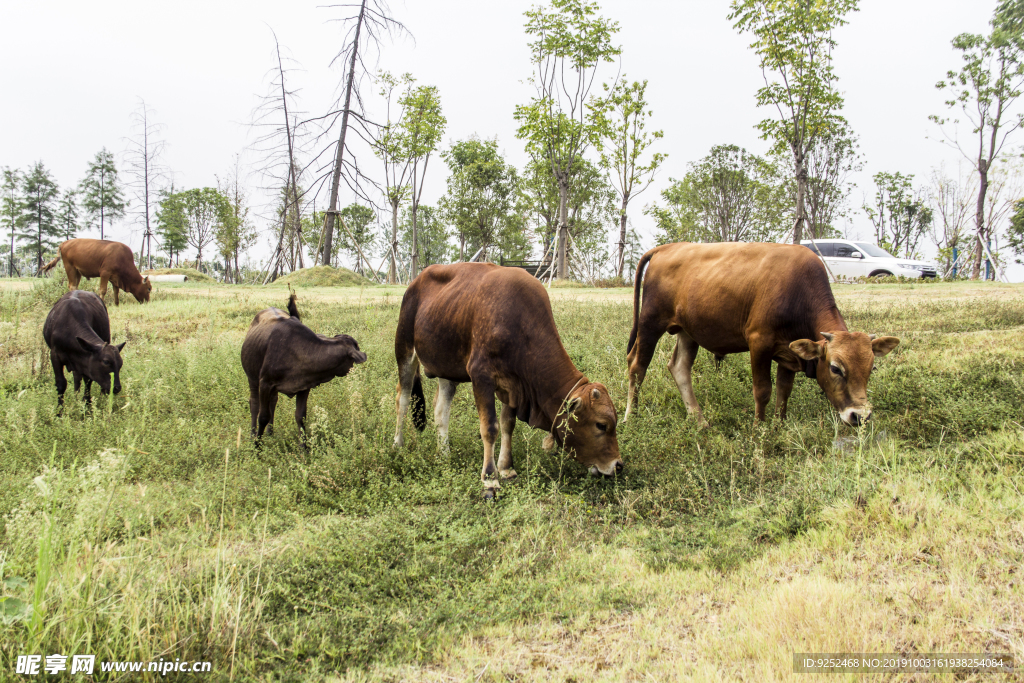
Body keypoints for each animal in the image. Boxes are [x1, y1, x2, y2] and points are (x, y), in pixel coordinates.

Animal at [239, 294, 368, 446]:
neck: (297, 351)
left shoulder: (303, 386)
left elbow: (300, 417)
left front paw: (304, 447)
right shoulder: (265, 383)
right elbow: (263, 416)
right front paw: (257, 446)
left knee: (273, 401)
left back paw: (270, 432)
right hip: (252, 378)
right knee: (254, 404)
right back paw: (253, 434)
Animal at [393, 262, 622, 497]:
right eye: (601, 425)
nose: (618, 465)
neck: (520, 324)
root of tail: (415, 282)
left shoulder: (513, 386)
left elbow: (507, 424)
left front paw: (506, 468)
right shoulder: (481, 377)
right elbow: (490, 428)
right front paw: (489, 478)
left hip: (448, 370)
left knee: (440, 411)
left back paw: (444, 453)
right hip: (404, 350)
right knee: (402, 400)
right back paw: (397, 446)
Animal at [618, 242, 901, 428]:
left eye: (872, 368)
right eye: (835, 368)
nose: (859, 416)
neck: (797, 292)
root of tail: (666, 248)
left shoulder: (789, 352)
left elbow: (784, 391)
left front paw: (779, 425)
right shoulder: (759, 343)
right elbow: (763, 390)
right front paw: (759, 429)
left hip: (689, 332)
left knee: (679, 368)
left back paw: (699, 420)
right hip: (650, 324)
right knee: (637, 366)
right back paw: (631, 416)